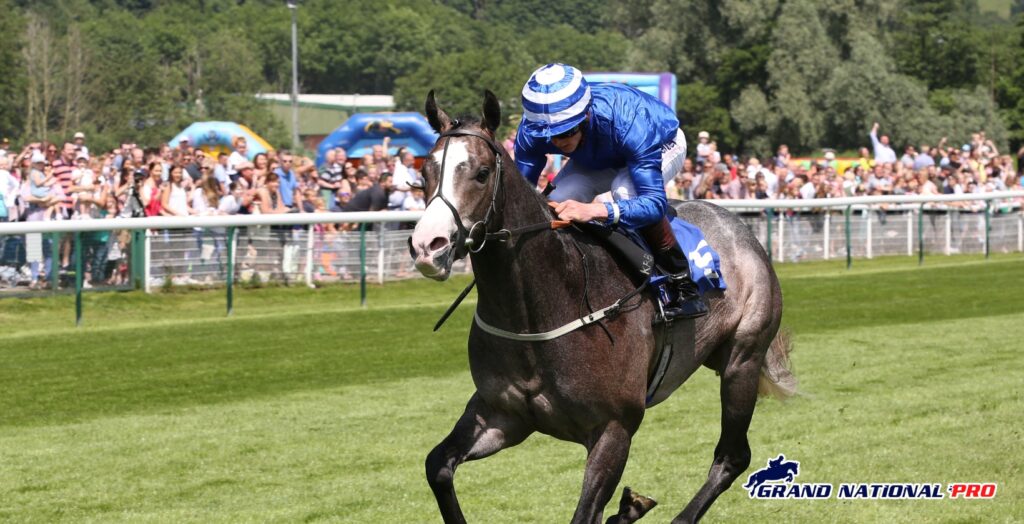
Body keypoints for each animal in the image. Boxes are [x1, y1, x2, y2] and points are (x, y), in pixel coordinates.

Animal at [407, 92, 790, 521]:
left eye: (482, 172)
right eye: (425, 171)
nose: (428, 245)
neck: (538, 310)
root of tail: (739, 226)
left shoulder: (614, 428)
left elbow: (584, 513)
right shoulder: (501, 415)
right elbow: (438, 466)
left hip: (743, 358)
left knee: (732, 456)